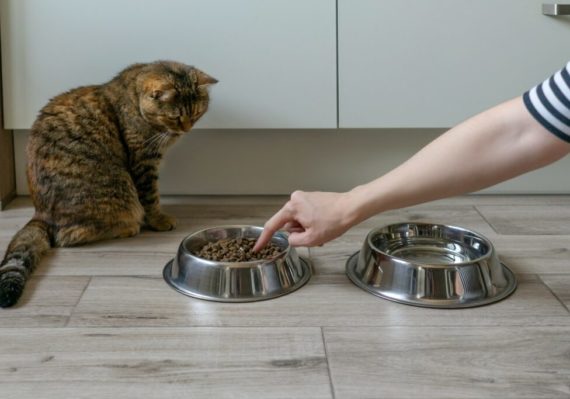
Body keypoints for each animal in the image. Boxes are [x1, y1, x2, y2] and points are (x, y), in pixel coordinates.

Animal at [0, 61, 217, 308]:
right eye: (176, 117)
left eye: (197, 113)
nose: (187, 129)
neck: (134, 98)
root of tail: (40, 214)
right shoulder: (143, 161)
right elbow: (150, 197)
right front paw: (159, 220)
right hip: (119, 190)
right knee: (69, 236)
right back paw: (126, 228)